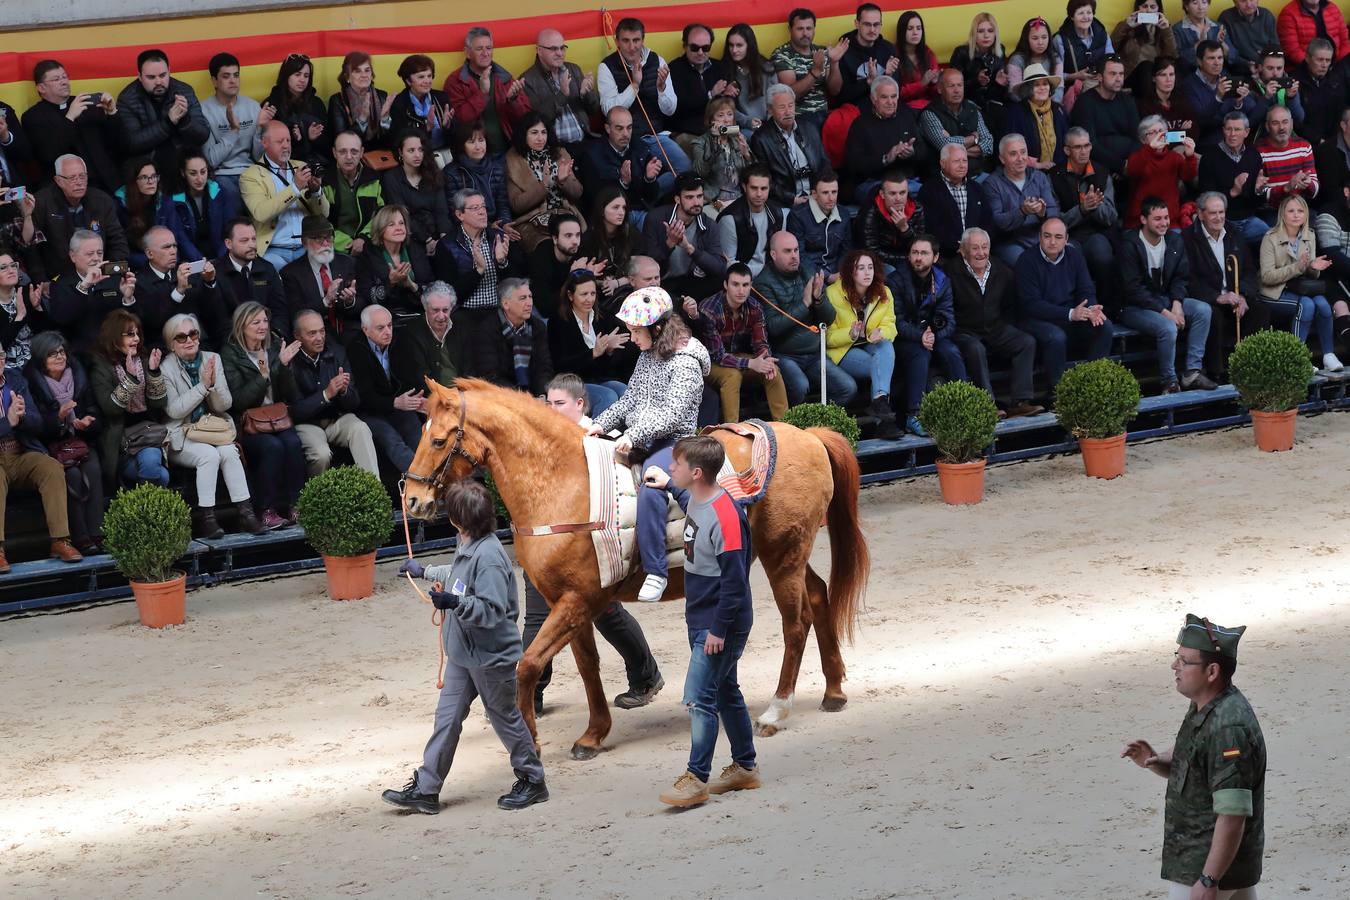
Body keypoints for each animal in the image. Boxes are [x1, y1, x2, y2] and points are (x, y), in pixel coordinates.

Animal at [399, 377, 869, 761]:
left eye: (438, 440)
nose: (413, 500)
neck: (563, 482)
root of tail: (809, 436)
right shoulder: (572, 602)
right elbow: (587, 665)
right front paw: (593, 734)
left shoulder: (576, 601)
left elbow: (527, 665)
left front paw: (531, 743)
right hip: (790, 554)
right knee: (819, 596)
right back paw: (833, 690)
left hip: (782, 556)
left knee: (796, 622)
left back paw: (776, 709)